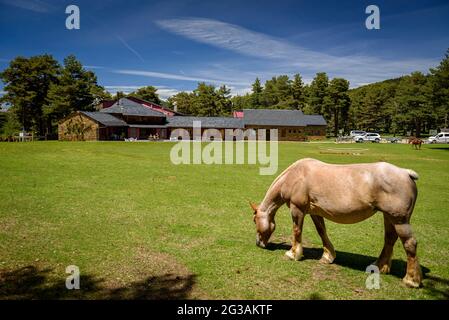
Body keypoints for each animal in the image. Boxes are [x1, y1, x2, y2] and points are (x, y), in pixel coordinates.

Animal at [250, 159, 422, 288]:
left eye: (254, 220)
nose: (258, 243)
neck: (295, 175)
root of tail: (406, 173)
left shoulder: (297, 209)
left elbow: (297, 231)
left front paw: (293, 254)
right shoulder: (315, 212)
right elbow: (322, 231)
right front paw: (328, 256)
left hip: (400, 221)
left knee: (410, 244)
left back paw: (411, 280)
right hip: (389, 217)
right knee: (389, 240)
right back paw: (379, 266)